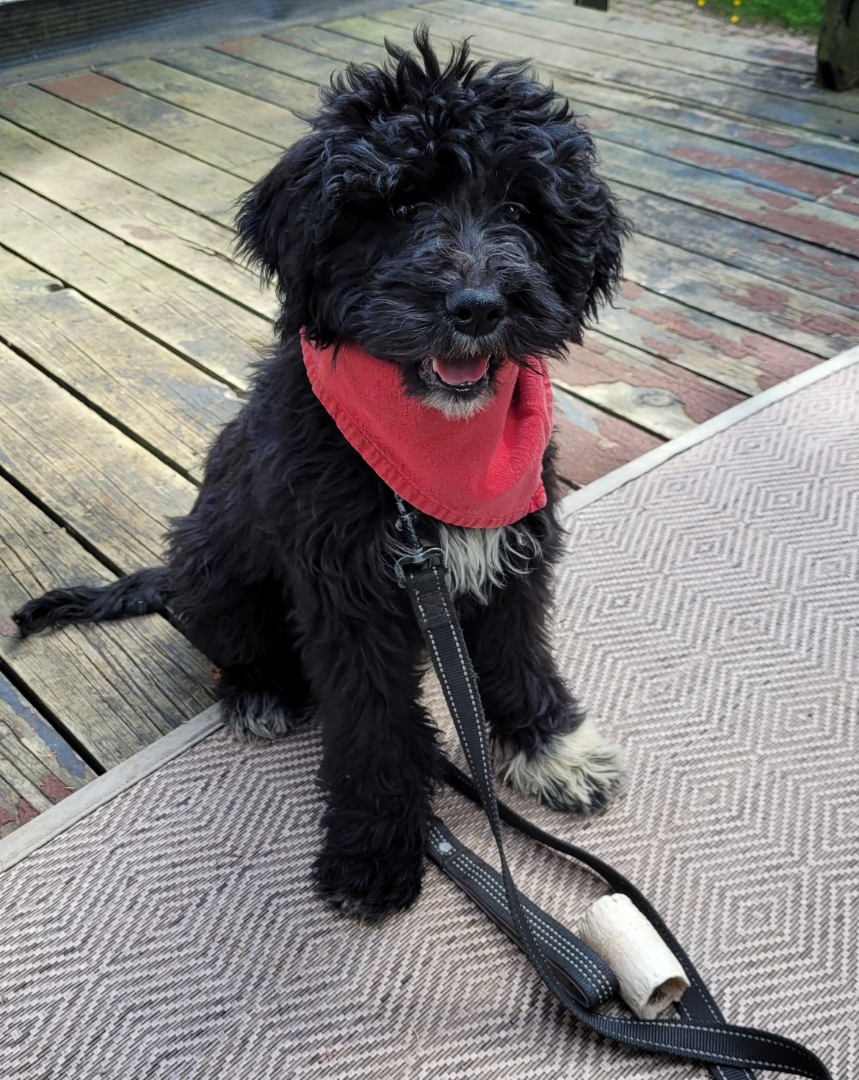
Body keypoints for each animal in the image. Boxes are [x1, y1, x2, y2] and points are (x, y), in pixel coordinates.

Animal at [16, 29, 626, 915]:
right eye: (399, 207)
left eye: (520, 209)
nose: (477, 306)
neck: (431, 449)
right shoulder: (350, 590)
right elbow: (372, 723)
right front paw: (374, 845)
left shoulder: (511, 551)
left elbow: (517, 659)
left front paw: (551, 751)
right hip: (216, 570)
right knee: (239, 648)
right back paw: (261, 692)